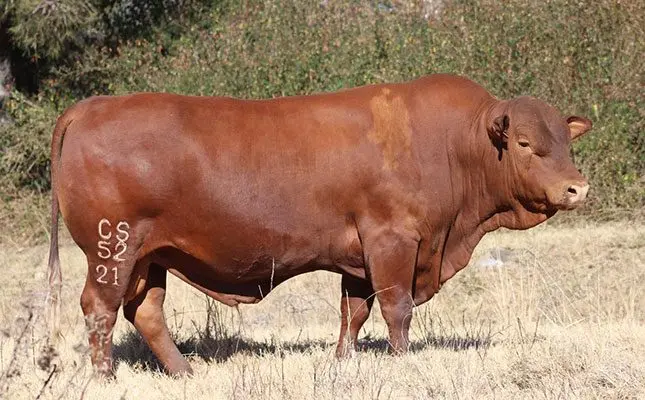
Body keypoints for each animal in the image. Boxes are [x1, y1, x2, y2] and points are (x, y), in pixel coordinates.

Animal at [46, 74, 592, 377]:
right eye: (524, 143)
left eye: (567, 141)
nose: (577, 188)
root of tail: (91, 105)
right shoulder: (393, 241)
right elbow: (396, 309)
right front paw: (402, 362)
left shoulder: (359, 256)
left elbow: (354, 313)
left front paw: (343, 362)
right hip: (113, 250)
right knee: (100, 309)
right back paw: (106, 378)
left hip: (151, 256)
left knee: (146, 312)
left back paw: (184, 373)